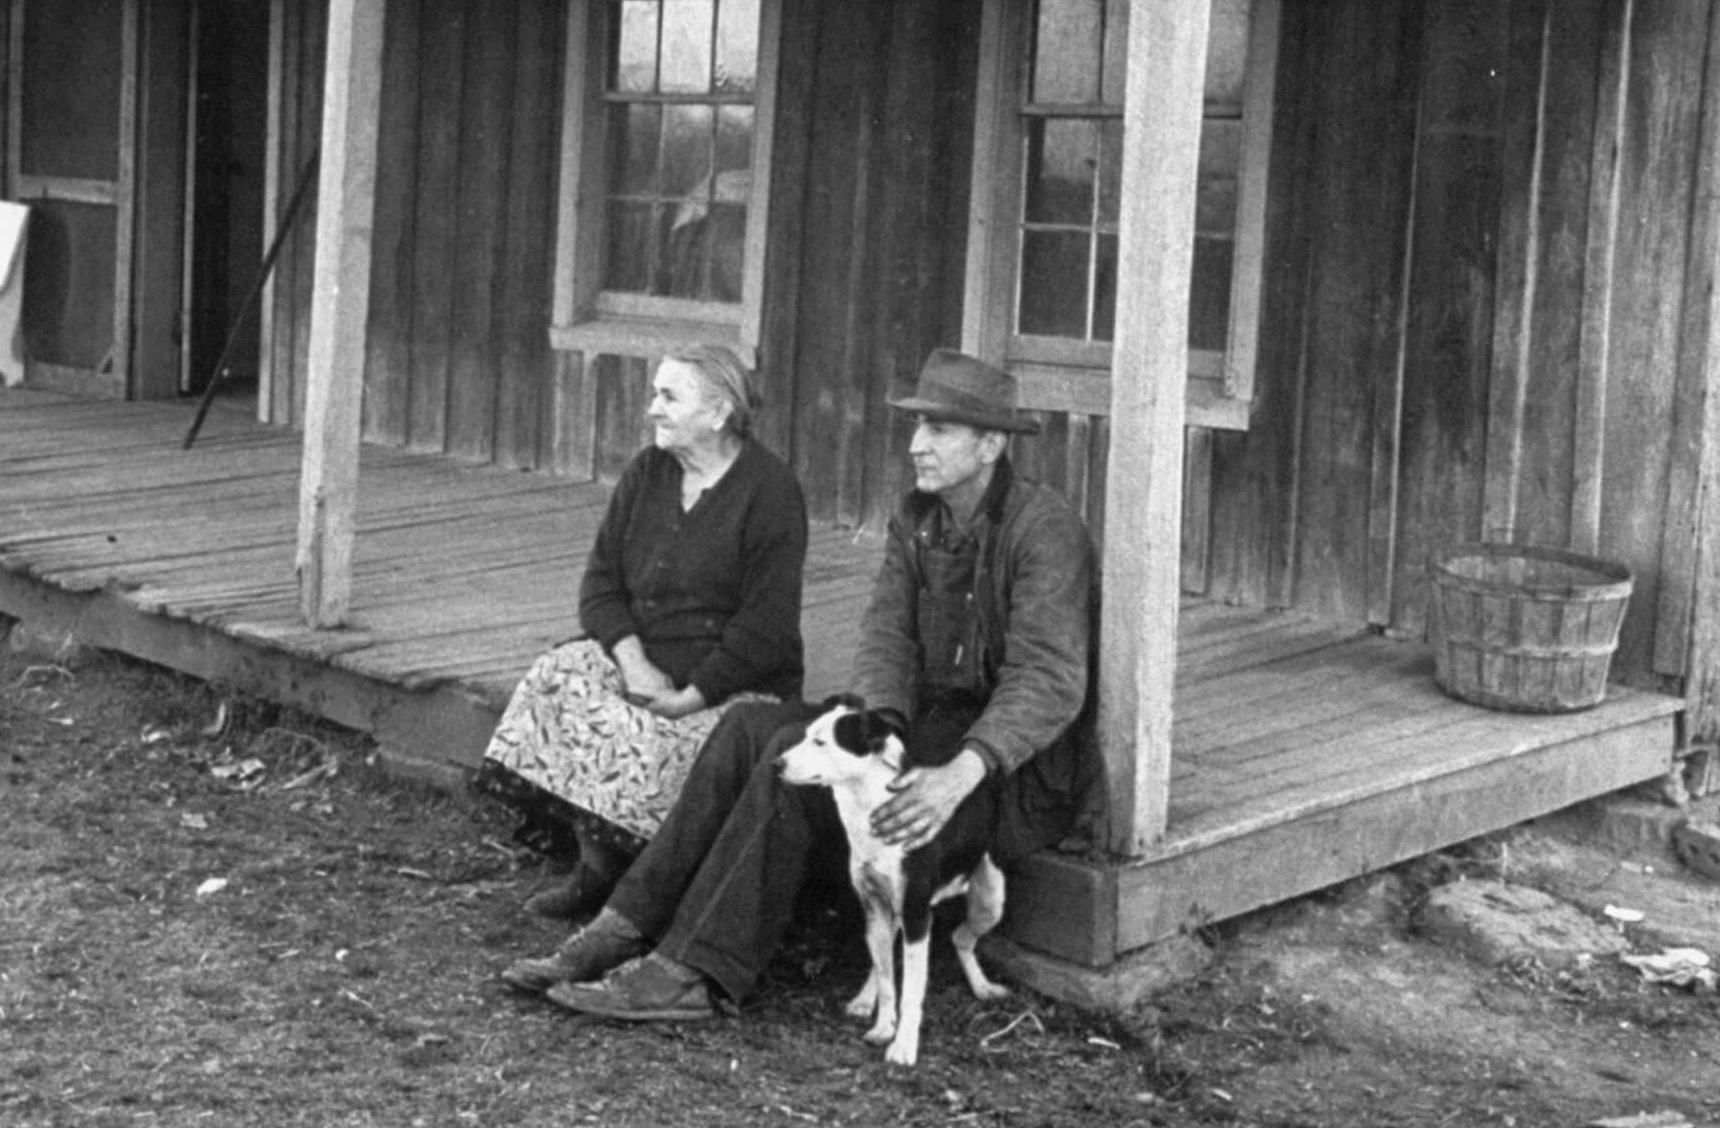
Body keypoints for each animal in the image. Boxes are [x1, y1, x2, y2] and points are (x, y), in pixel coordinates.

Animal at [777, 694, 1004, 1066]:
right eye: (808, 734)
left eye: (821, 742)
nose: (776, 764)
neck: (868, 807)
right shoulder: (875, 906)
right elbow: (887, 979)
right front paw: (884, 1027)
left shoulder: (916, 915)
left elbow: (911, 991)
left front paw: (903, 1046)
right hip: (891, 914)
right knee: (886, 959)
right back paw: (864, 1000)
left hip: (990, 899)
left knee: (961, 938)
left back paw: (982, 986)